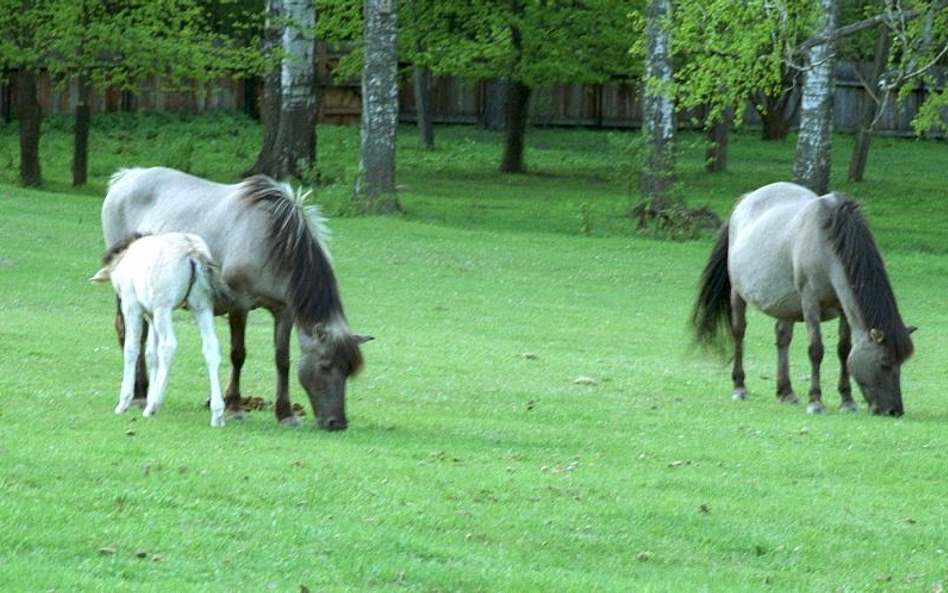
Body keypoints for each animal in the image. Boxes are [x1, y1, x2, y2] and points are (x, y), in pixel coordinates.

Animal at [92, 231, 231, 426]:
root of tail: (192, 250)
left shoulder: (132, 306)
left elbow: (132, 348)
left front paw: (124, 402)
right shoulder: (151, 316)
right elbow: (151, 354)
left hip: (163, 308)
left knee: (168, 345)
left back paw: (152, 406)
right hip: (201, 307)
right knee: (211, 347)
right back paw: (217, 413)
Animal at [692, 182, 916, 416]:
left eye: (901, 363)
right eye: (884, 363)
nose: (894, 411)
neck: (827, 246)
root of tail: (743, 202)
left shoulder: (843, 308)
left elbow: (844, 350)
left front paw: (847, 400)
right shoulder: (810, 303)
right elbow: (816, 350)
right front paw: (815, 401)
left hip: (785, 304)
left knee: (783, 338)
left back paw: (786, 392)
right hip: (738, 293)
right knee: (739, 332)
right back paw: (739, 387)